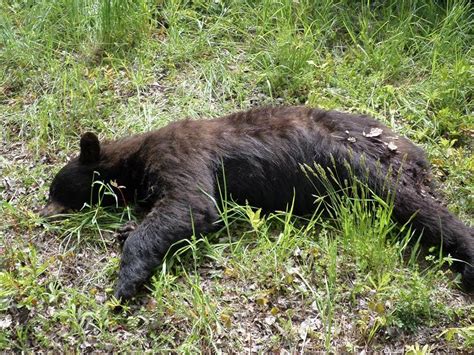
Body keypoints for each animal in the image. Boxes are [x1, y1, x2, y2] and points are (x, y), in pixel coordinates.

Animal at [41, 106, 474, 300]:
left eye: (55, 189)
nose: (42, 213)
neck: (132, 159)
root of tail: (414, 159)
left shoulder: (179, 154)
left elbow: (191, 206)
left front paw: (125, 280)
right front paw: (128, 228)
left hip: (359, 168)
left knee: (419, 209)